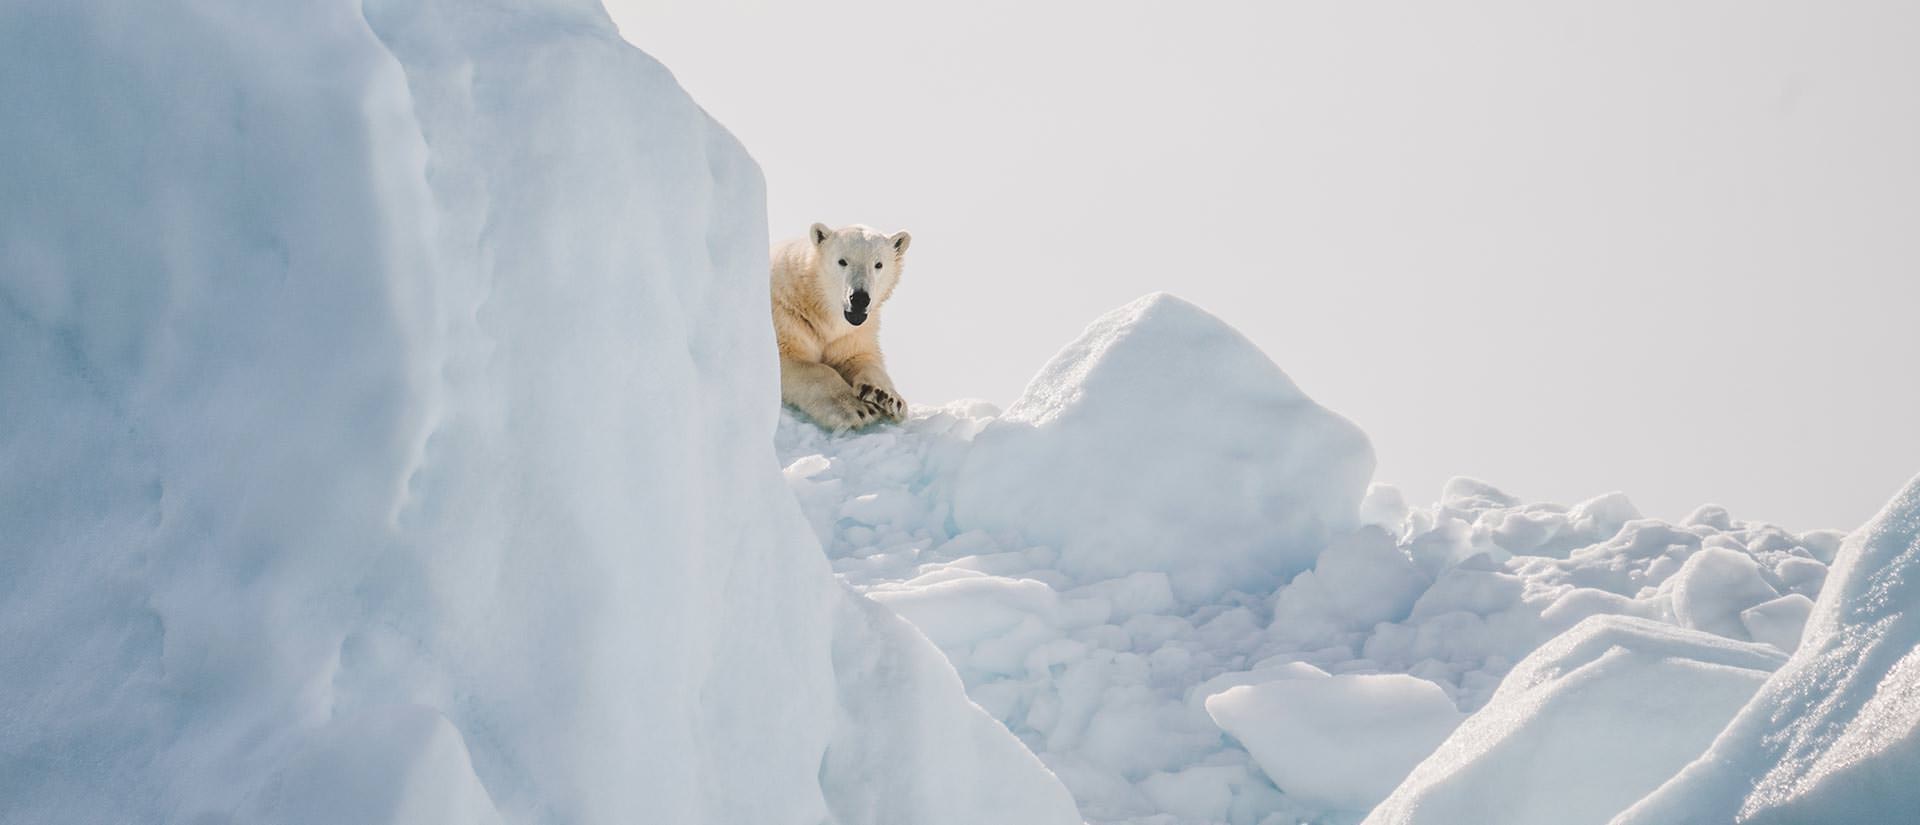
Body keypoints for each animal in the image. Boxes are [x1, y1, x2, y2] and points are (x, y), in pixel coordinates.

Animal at [768, 223, 910, 431]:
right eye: (842, 261)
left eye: (878, 264)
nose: (859, 298)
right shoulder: (787, 318)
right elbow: (802, 363)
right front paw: (856, 409)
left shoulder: (852, 334)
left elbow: (859, 357)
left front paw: (885, 396)